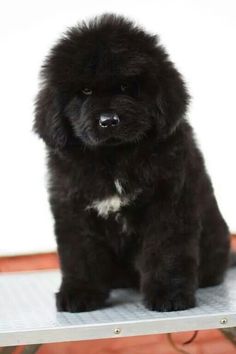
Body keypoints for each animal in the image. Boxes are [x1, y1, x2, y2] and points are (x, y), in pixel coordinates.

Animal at [34, 14, 230, 312]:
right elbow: (79, 254)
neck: (114, 159)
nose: (108, 120)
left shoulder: (168, 203)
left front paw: (169, 296)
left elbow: (165, 251)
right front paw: (80, 293)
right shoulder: (73, 208)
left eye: (126, 87)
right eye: (85, 91)